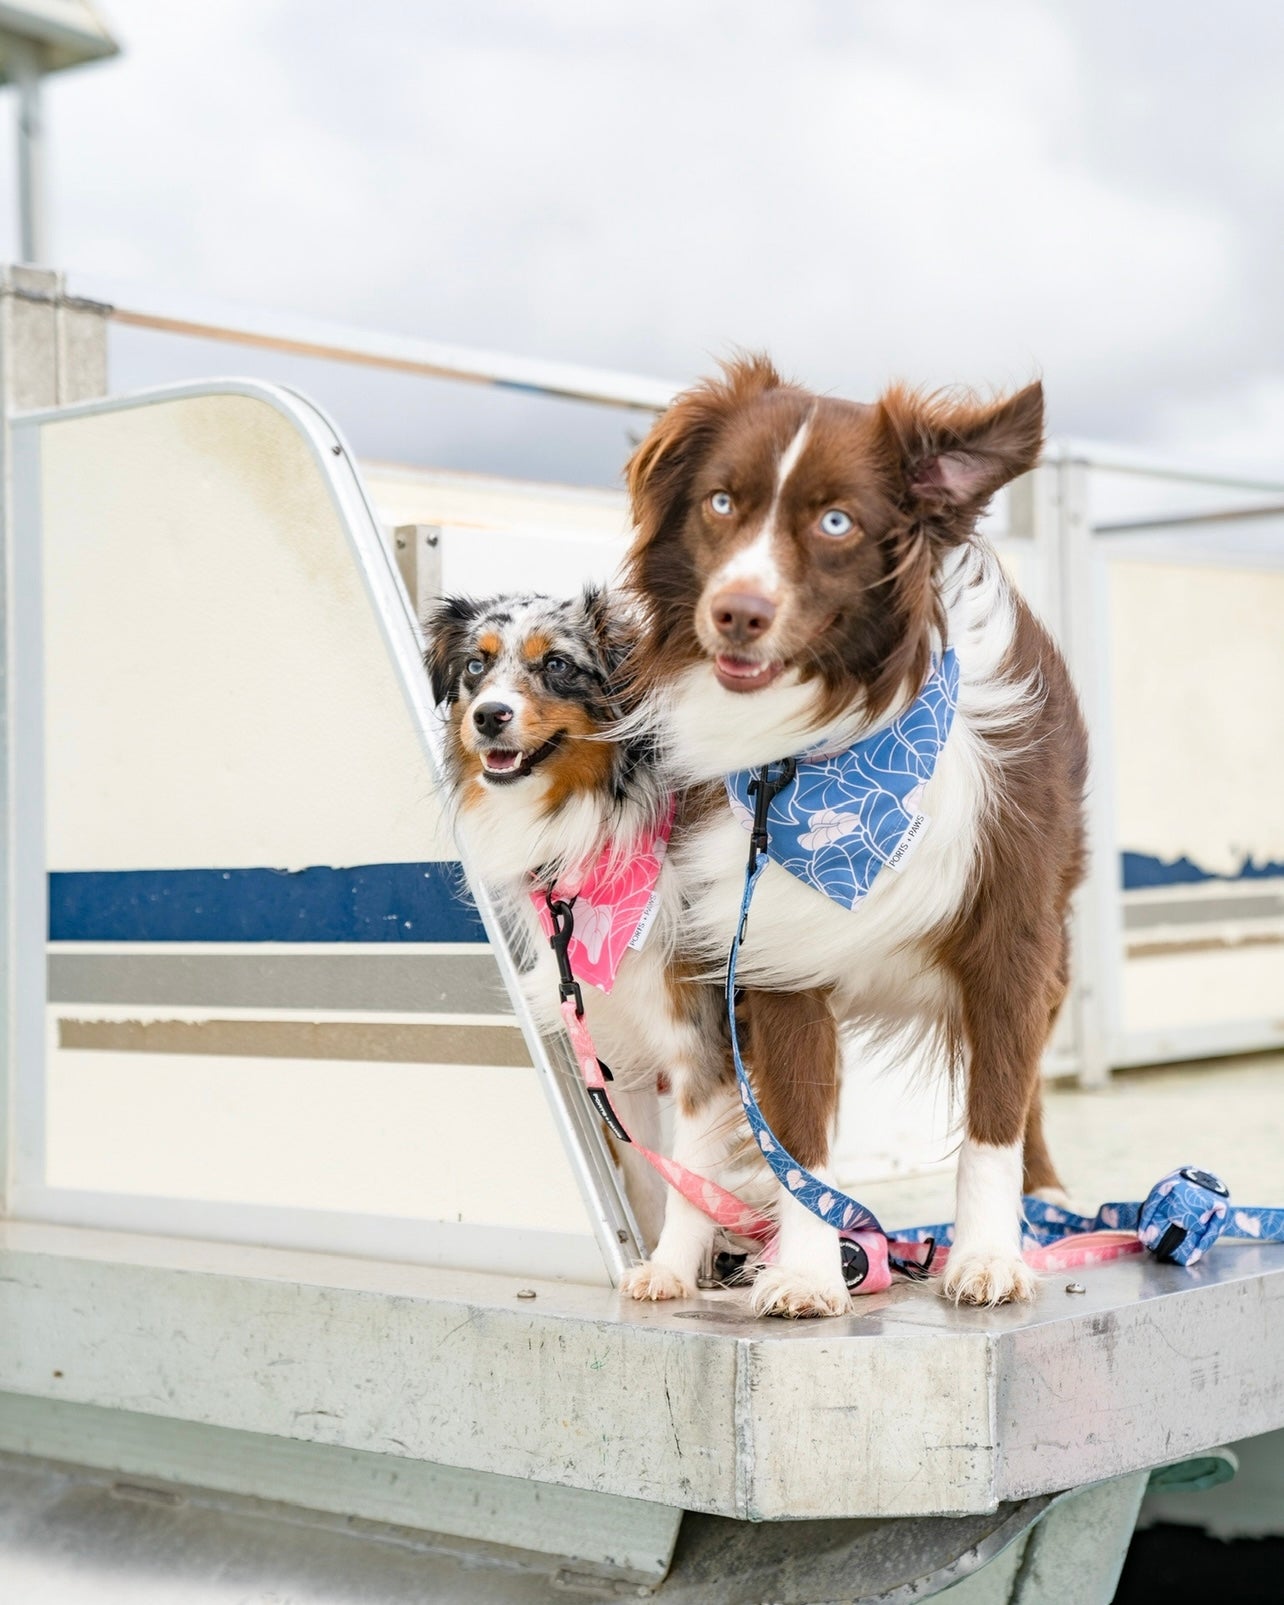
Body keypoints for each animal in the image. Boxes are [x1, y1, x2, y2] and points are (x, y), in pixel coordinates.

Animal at [622, 357, 1084, 1309]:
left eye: (836, 522)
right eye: (721, 501)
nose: (739, 613)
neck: (840, 744)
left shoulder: (1013, 936)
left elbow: (996, 1115)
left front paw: (990, 1252)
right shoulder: (775, 947)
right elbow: (797, 1137)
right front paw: (805, 1270)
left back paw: (1048, 1198)